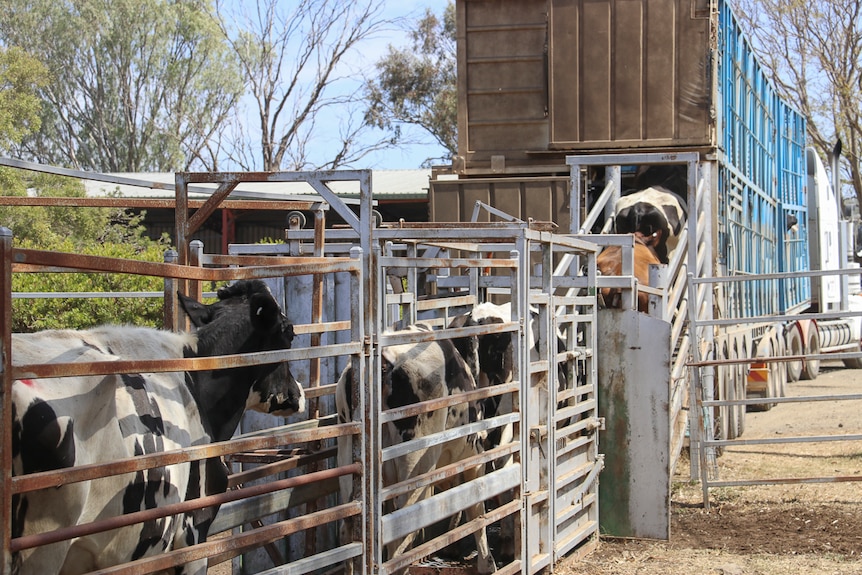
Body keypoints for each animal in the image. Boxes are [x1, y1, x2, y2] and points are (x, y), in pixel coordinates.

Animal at [340, 324, 500, 575]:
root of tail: (386, 361)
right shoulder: (473, 455)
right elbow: (475, 504)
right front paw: (486, 562)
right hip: (417, 467)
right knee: (400, 533)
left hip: (351, 461)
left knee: (350, 528)